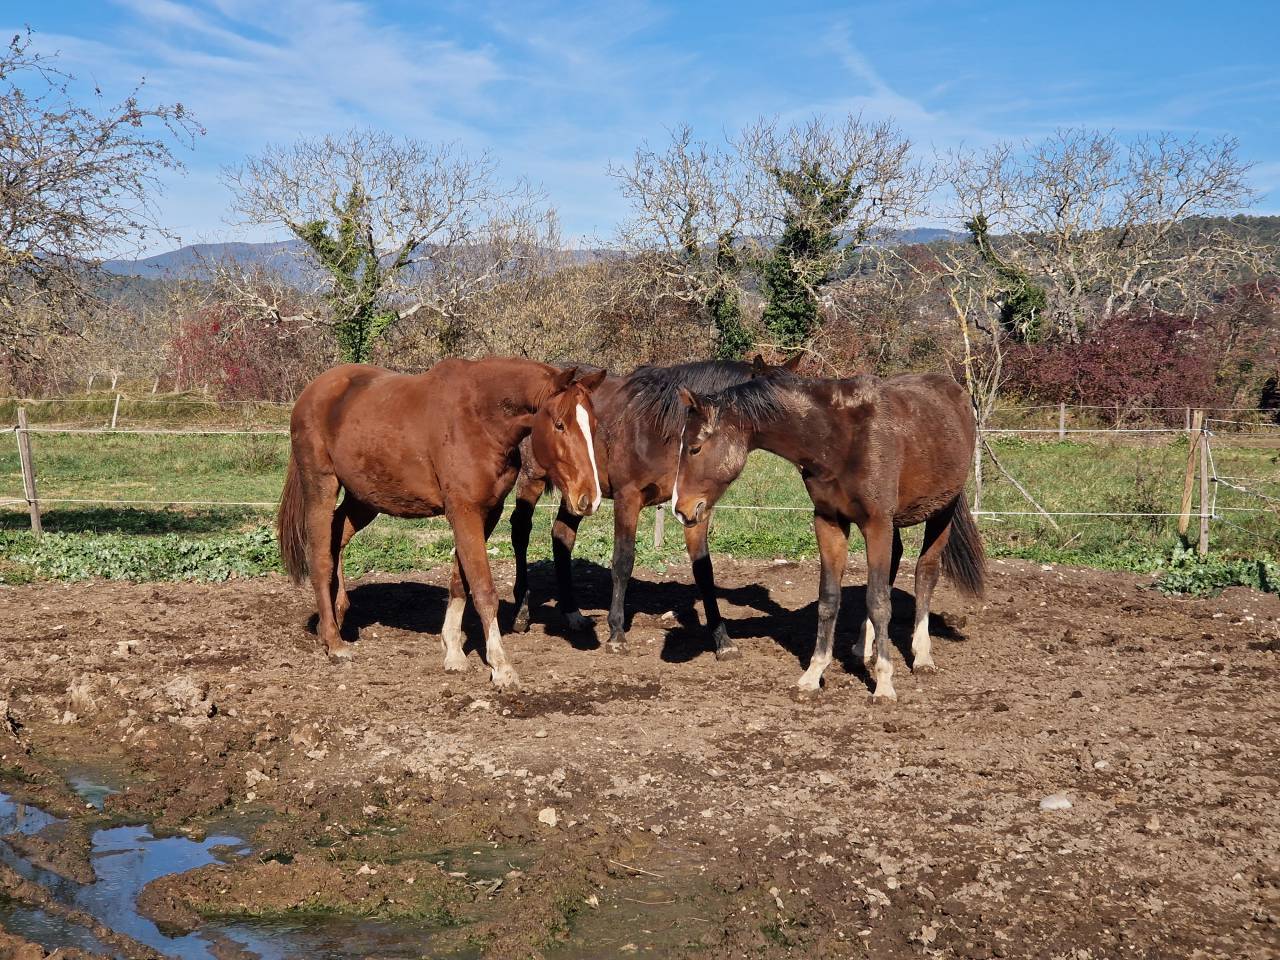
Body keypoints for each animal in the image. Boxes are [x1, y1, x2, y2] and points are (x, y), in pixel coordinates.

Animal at [278, 358, 607, 687]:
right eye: (560, 424)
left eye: (593, 425)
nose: (589, 498)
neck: (481, 419)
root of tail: (312, 392)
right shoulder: (464, 511)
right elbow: (483, 589)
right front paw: (501, 666)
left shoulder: (488, 512)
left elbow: (460, 581)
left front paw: (453, 652)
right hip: (321, 485)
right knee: (320, 558)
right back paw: (334, 642)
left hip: (365, 498)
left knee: (337, 539)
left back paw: (335, 618)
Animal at [509, 355, 802, 658]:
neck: (662, 431)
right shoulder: (628, 498)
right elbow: (623, 561)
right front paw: (616, 634)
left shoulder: (695, 507)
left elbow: (704, 569)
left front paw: (723, 640)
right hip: (533, 477)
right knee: (520, 531)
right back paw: (521, 613)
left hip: (579, 490)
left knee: (562, 536)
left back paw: (573, 614)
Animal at [671, 368, 985, 700]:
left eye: (695, 447)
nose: (681, 509)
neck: (839, 438)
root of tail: (957, 394)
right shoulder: (829, 521)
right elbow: (830, 598)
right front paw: (814, 673)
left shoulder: (877, 523)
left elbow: (878, 602)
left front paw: (884, 684)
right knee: (893, 566)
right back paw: (863, 647)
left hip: (942, 511)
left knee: (925, 573)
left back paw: (922, 655)